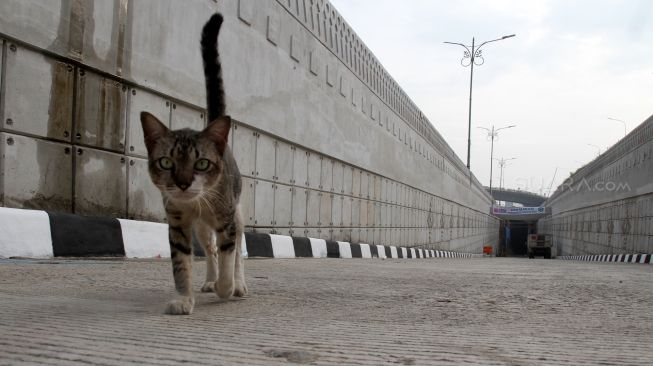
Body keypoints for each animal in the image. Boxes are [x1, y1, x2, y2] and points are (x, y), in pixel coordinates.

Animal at [141, 12, 246, 314]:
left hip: (237, 214)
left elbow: (229, 256)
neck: (199, 201)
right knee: (210, 250)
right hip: (200, 227)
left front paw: (226, 287)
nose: (183, 183)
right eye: (166, 162)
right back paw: (210, 280)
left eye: (201, 164)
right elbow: (182, 265)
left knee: (236, 252)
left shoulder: (227, 220)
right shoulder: (177, 222)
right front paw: (184, 299)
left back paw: (237, 285)